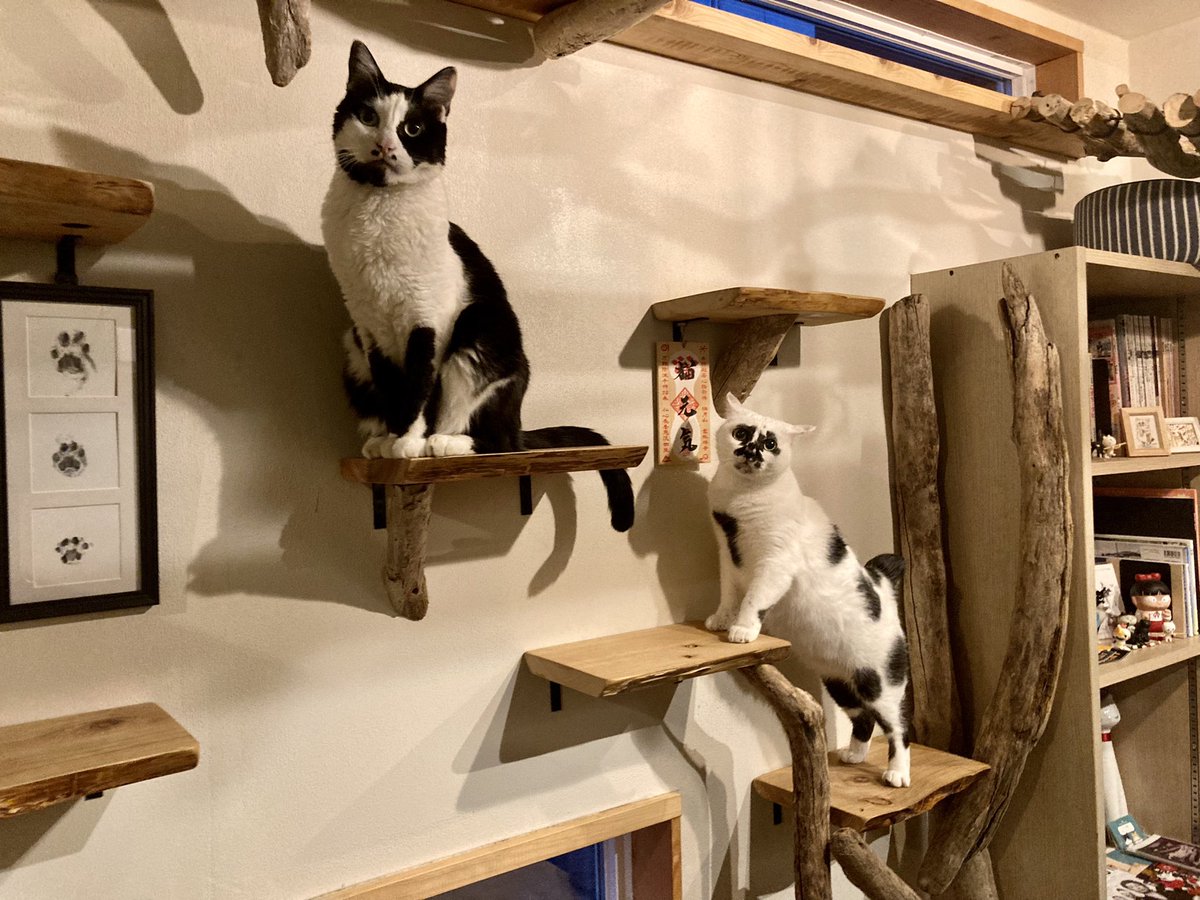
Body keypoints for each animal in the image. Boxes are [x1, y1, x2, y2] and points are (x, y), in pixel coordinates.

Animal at [320, 41, 634, 532]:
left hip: (479, 330)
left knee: (499, 440)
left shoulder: (430, 319)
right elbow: (393, 386)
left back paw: (446, 443)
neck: (378, 214)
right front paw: (392, 440)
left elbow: (420, 385)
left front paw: (409, 443)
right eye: (369, 117)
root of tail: (518, 421)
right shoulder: (369, 328)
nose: (385, 145)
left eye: (412, 128)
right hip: (352, 343)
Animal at [704, 394, 911, 787]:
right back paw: (854, 755)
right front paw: (721, 620)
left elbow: (753, 599)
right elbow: (728, 594)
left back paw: (897, 773)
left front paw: (743, 630)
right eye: (742, 433)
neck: (740, 503)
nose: (752, 450)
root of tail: (883, 590)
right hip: (840, 683)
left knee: (898, 728)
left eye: (771, 443)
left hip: (880, 684)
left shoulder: (775, 564)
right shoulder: (725, 555)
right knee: (863, 719)